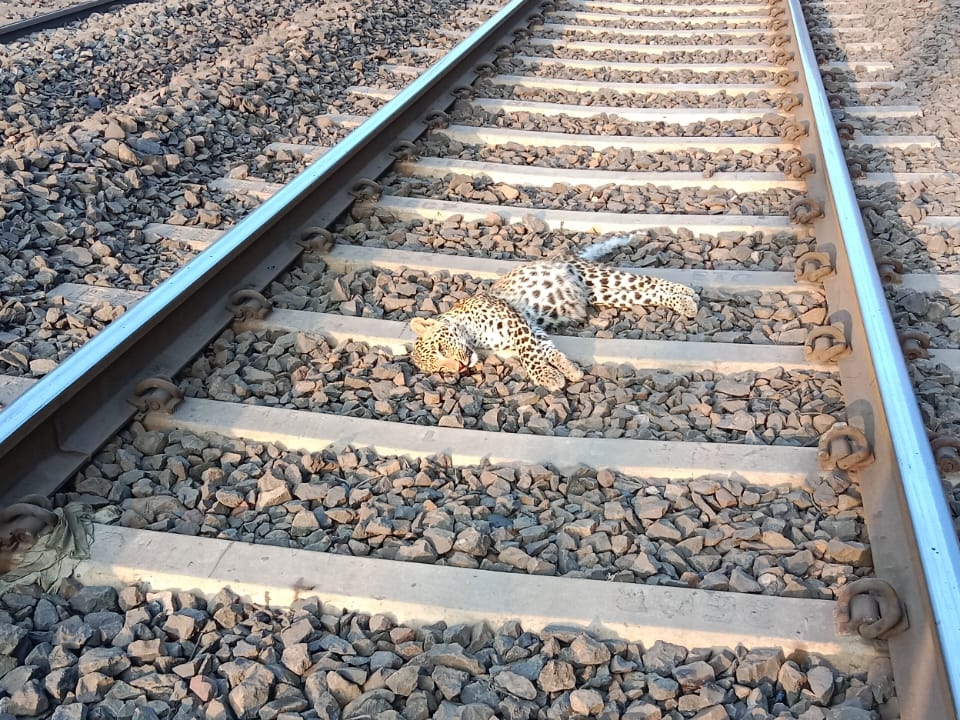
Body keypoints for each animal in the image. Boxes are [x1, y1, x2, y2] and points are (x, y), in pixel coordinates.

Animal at [409, 236, 699, 391]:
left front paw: (547, 377)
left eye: (440, 349)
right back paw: (686, 298)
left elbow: (530, 356)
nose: (458, 368)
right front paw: (569, 370)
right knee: (647, 291)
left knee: (649, 281)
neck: (473, 338)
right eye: (441, 370)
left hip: (598, 277)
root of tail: (565, 255)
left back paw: (687, 296)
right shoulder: (530, 328)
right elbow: (546, 349)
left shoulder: (516, 324)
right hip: (604, 292)